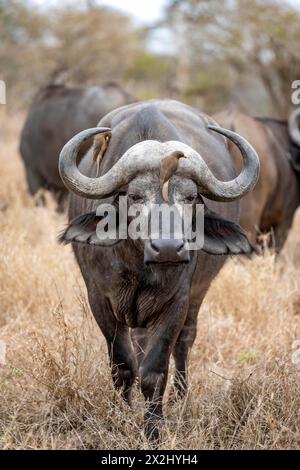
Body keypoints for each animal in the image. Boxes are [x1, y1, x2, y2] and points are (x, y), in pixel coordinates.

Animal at [59, 100, 260, 440]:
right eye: (135, 196)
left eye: (190, 197)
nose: (168, 248)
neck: (137, 267)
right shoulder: (99, 299)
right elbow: (123, 366)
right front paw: (121, 414)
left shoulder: (175, 305)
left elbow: (154, 370)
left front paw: (153, 429)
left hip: (197, 295)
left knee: (185, 342)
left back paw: (181, 397)